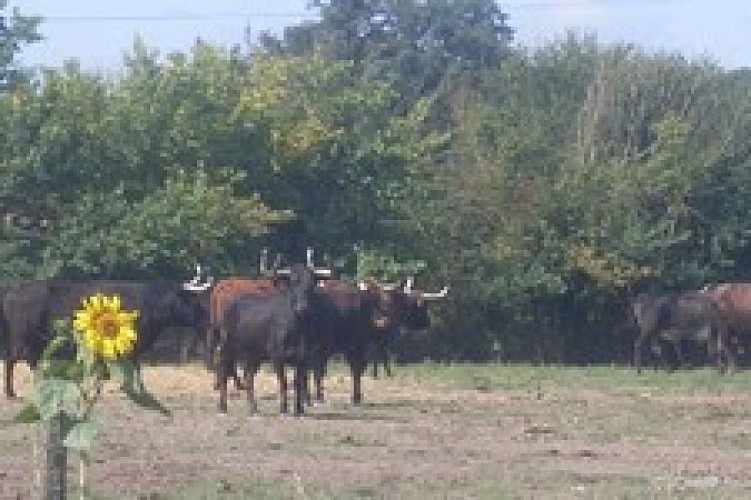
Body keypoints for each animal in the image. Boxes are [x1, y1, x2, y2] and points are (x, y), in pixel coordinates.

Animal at [3, 280, 209, 396]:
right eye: (189, 299)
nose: (203, 315)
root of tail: (14, 290)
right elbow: (133, 366)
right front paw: (135, 388)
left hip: (34, 339)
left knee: (29, 360)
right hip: (22, 336)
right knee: (13, 359)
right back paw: (11, 392)